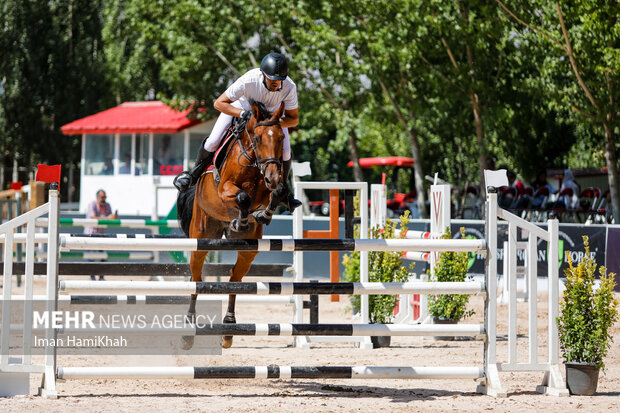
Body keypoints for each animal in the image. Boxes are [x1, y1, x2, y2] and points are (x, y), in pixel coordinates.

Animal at [177, 100, 288, 348]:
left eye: (280, 138)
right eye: (257, 138)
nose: (273, 176)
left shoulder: (268, 188)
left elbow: (276, 194)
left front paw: (262, 214)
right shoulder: (225, 189)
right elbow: (242, 197)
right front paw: (242, 218)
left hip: (249, 251)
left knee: (235, 279)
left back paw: (228, 327)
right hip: (201, 238)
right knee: (196, 279)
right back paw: (188, 329)